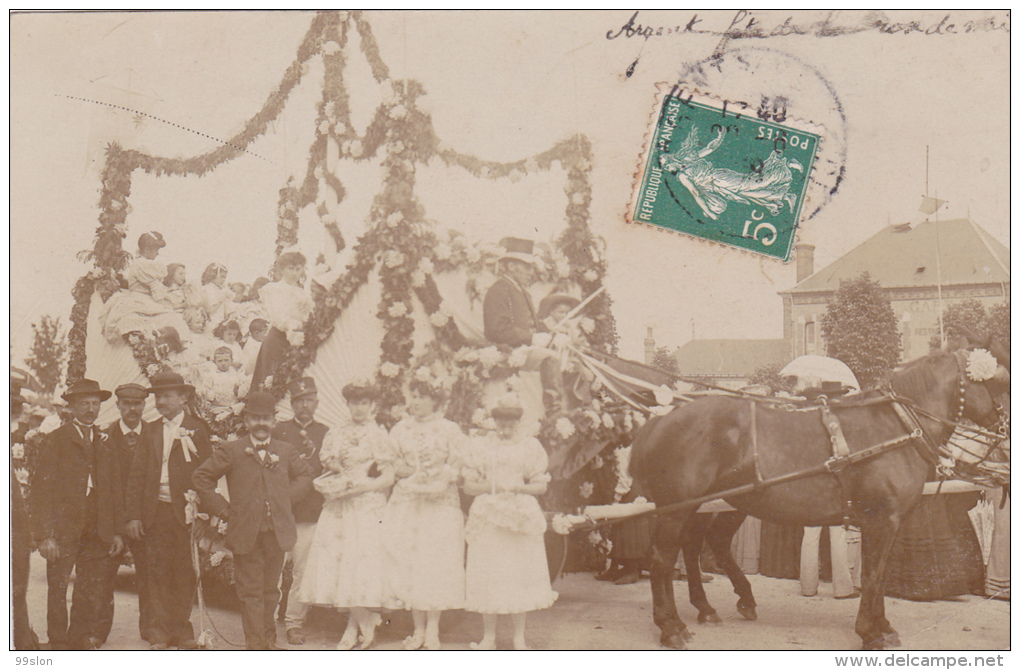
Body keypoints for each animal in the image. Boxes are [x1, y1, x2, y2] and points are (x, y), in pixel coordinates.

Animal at [632, 340, 1007, 648]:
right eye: (1000, 381)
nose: (1005, 434)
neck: (895, 425)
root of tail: (661, 417)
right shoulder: (882, 520)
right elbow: (872, 575)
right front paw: (870, 632)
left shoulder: (885, 523)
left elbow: (879, 573)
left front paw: (881, 625)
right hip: (677, 509)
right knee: (663, 560)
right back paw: (671, 627)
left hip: (714, 505)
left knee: (700, 545)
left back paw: (714, 606)